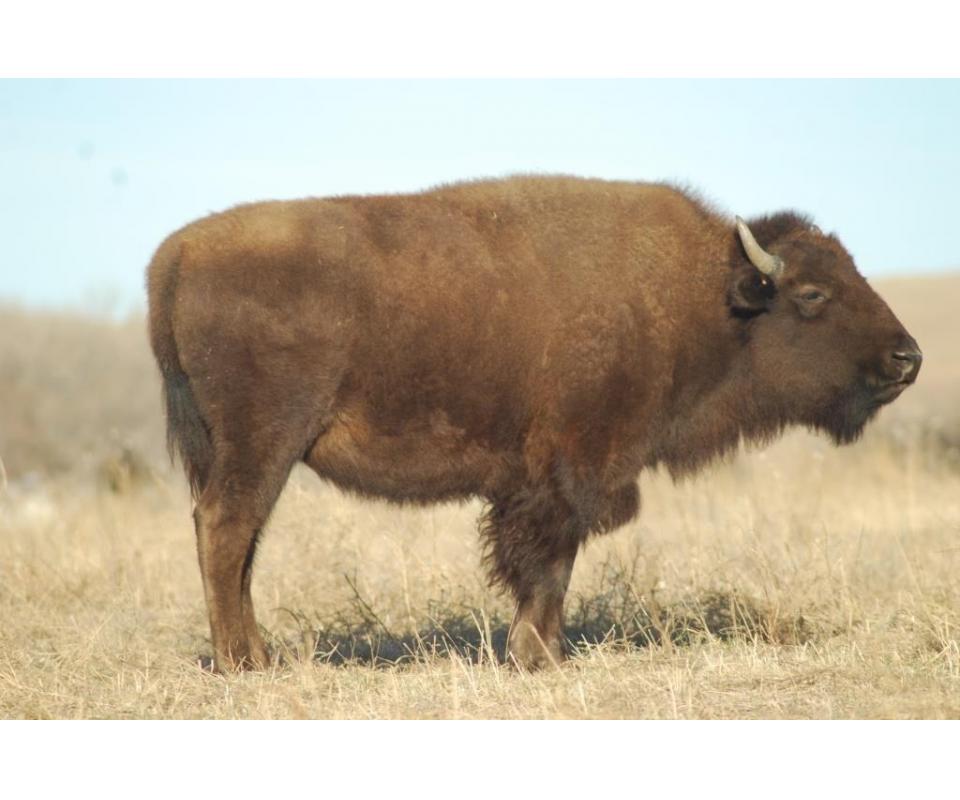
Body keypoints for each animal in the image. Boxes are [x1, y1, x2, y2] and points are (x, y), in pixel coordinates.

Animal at [146, 175, 921, 671]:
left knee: (240, 543)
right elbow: (551, 560)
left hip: (245, 451)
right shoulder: (573, 468)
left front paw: (538, 650)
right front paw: (540, 655)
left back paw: (256, 653)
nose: (907, 357)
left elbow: (548, 561)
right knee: (226, 529)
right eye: (813, 293)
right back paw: (243, 663)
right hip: (263, 443)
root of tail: (175, 255)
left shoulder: (543, 478)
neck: (706, 296)